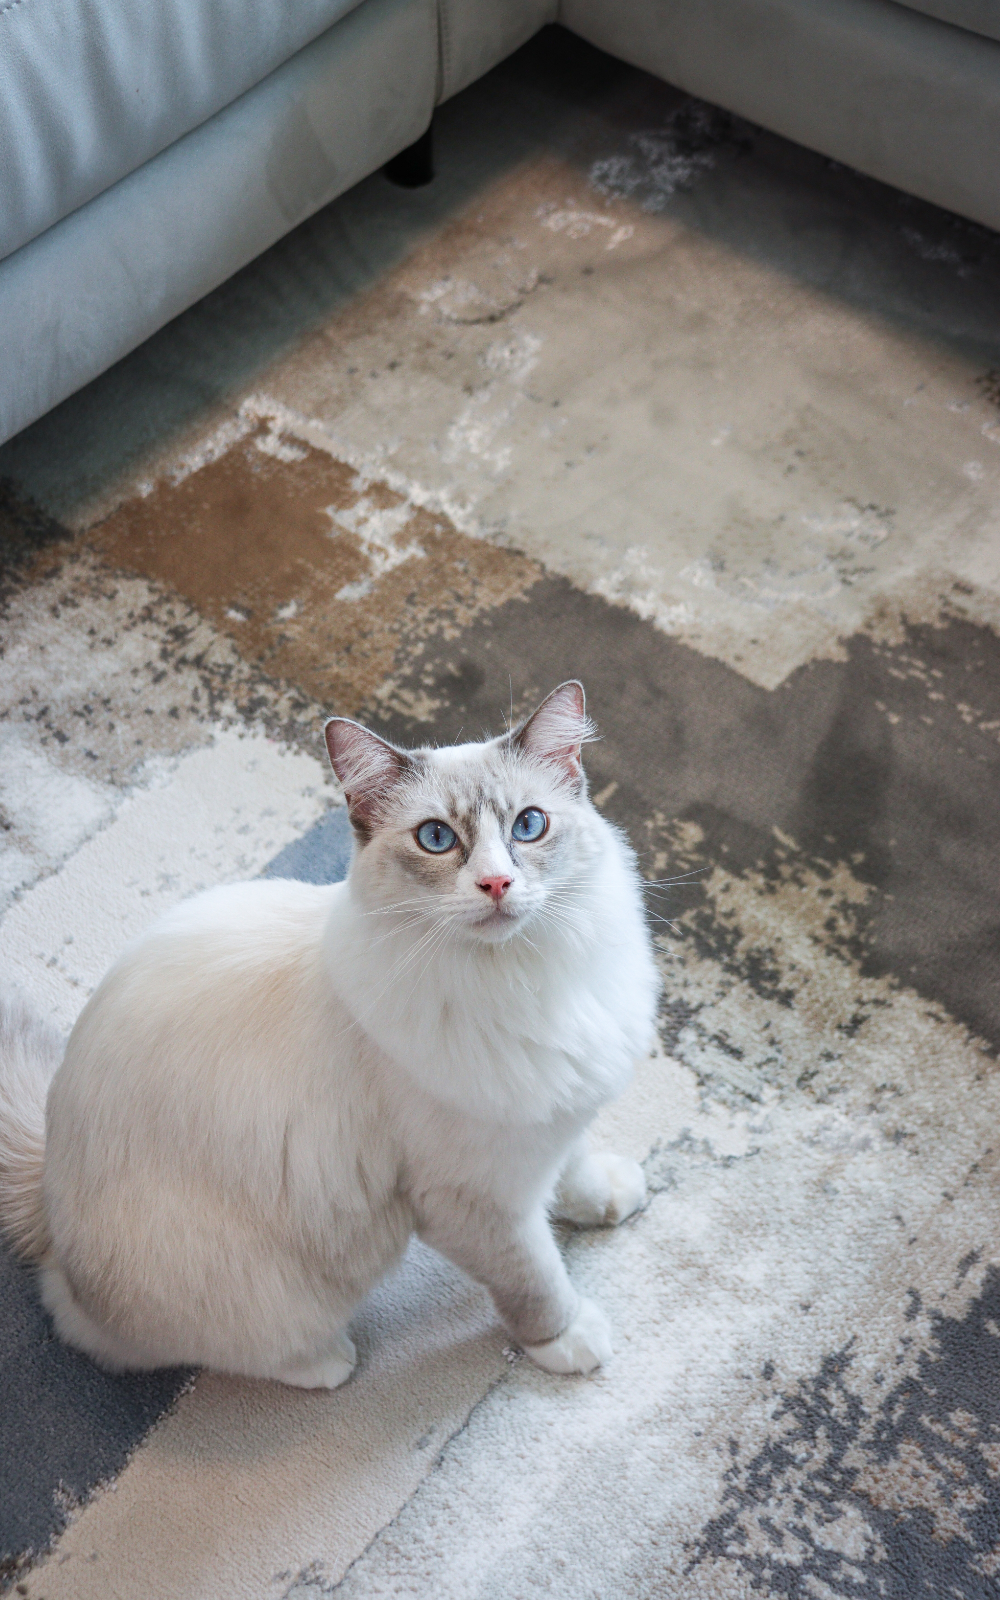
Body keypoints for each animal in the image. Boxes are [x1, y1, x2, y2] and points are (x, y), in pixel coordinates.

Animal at [0, 684, 656, 1388]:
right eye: (436, 838)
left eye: (528, 826)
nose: (497, 883)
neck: (527, 981)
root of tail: (47, 1190)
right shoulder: (476, 1199)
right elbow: (535, 1280)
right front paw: (566, 1340)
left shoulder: (551, 1112)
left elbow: (576, 1168)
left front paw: (609, 1198)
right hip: (279, 1291)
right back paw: (327, 1363)